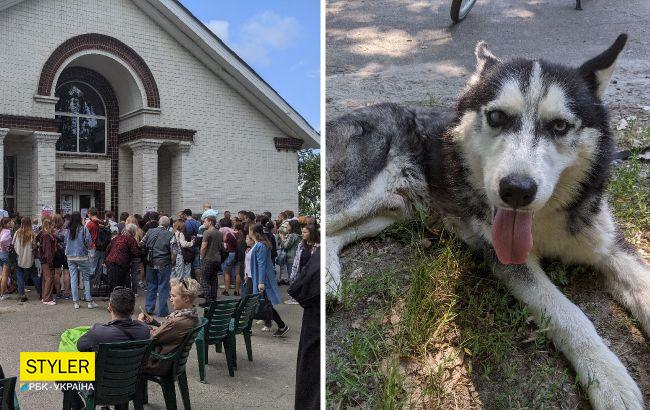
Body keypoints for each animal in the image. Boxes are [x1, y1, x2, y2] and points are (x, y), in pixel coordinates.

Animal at [326, 35, 648, 410]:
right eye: (496, 116)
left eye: (559, 126)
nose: (517, 190)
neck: (543, 221)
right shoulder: (508, 262)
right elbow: (569, 314)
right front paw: (609, 380)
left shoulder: (610, 245)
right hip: (359, 198)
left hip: (391, 213)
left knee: (332, 235)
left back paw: (327, 282)